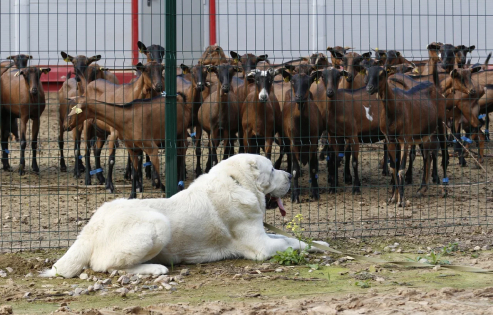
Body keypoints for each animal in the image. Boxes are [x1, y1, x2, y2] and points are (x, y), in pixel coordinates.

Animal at [40, 154, 328, 278]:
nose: (290, 174)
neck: (238, 183)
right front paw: (309, 247)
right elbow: (289, 243)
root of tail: (91, 228)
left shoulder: (263, 234)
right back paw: (155, 268)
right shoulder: (261, 247)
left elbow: (290, 239)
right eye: (272, 169)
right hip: (158, 223)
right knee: (104, 265)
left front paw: (320, 244)